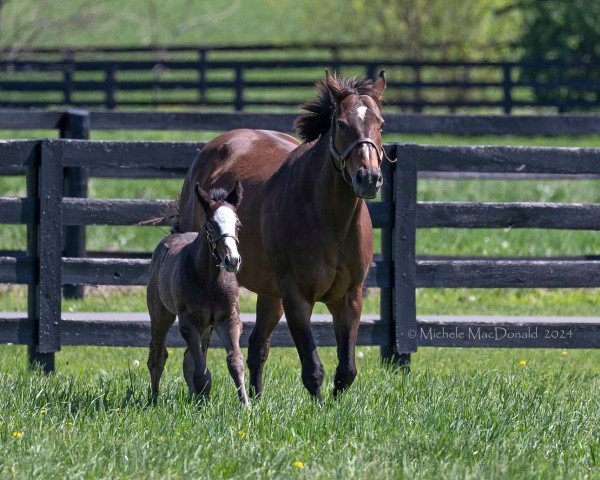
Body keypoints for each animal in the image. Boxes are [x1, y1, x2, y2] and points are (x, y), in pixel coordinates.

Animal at [146, 181, 247, 404]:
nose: (232, 260)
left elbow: (235, 361)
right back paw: (154, 399)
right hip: (161, 314)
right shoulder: (188, 322)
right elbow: (201, 370)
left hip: (206, 326)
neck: (210, 281)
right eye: (211, 225)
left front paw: (246, 405)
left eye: (238, 225)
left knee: (188, 358)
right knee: (157, 355)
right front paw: (203, 403)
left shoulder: (229, 319)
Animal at [173, 71, 390, 400]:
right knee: (200, 347)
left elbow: (347, 370)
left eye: (381, 124)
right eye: (341, 123)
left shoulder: (350, 298)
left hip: (269, 293)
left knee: (257, 346)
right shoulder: (296, 297)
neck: (331, 222)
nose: (368, 178)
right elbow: (313, 369)